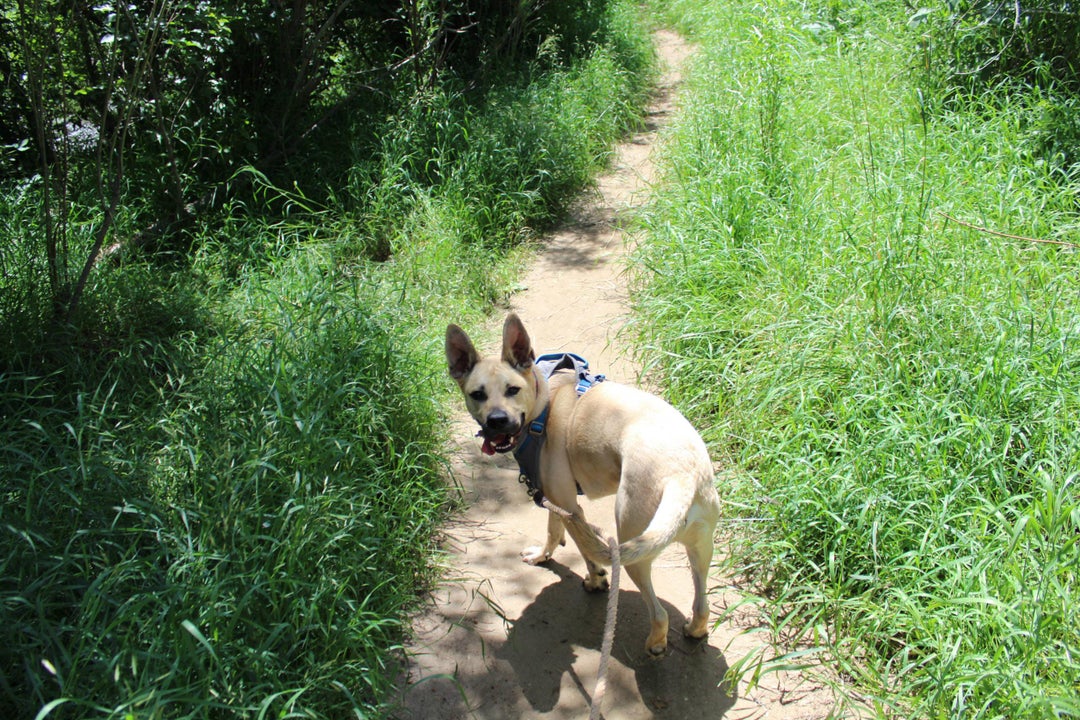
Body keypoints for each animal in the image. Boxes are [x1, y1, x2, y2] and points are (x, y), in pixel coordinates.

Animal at [442, 313, 721, 656]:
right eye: (476, 394)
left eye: (512, 389)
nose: (496, 421)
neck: (543, 404)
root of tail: (682, 475)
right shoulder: (555, 499)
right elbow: (555, 531)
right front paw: (545, 556)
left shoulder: (567, 505)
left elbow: (576, 545)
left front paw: (595, 580)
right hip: (701, 549)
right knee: (701, 604)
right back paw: (695, 629)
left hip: (633, 548)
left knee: (659, 614)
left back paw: (655, 644)